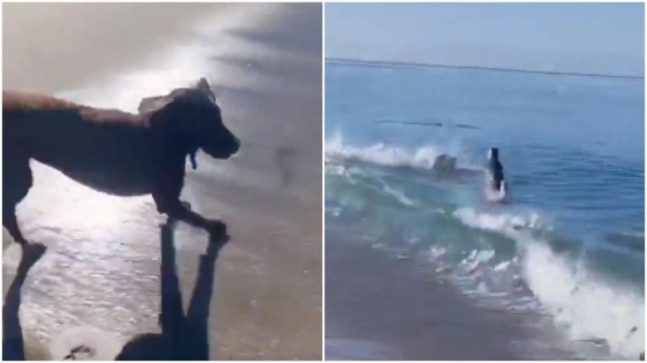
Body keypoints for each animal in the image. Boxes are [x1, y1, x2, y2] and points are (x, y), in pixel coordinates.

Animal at [2, 78, 240, 246]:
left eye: (219, 115)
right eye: (208, 122)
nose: (237, 145)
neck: (165, 135)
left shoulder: (170, 201)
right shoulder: (166, 200)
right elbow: (198, 219)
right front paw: (216, 229)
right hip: (20, 177)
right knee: (7, 213)